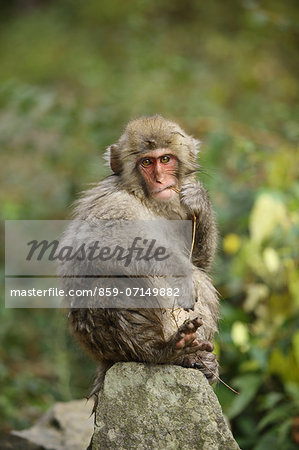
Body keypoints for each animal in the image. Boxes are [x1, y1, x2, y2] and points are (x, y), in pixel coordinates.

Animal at [58, 115, 219, 398]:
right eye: (146, 162)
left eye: (165, 159)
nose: (159, 180)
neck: (146, 199)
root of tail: (105, 358)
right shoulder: (115, 203)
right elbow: (104, 244)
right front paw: (182, 276)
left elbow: (200, 262)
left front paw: (199, 198)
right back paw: (164, 351)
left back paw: (201, 361)